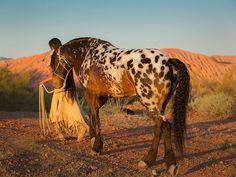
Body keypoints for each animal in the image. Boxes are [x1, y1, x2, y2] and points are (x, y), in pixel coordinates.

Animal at [47, 37, 190, 176]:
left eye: (53, 61)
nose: (55, 83)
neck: (86, 55)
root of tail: (168, 61)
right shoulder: (103, 96)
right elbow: (92, 115)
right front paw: (94, 141)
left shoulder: (91, 94)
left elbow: (95, 118)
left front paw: (96, 147)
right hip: (160, 105)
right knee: (159, 127)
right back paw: (155, 162)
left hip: (150, 103)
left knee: (165, 126)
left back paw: (162, 163)